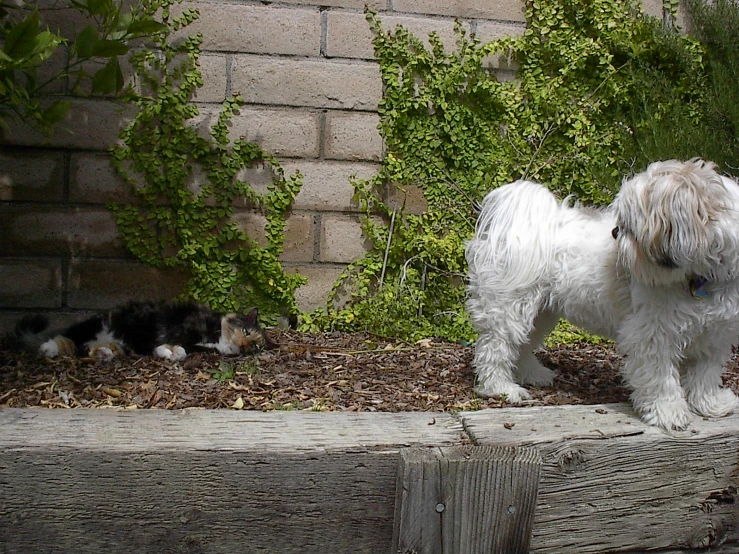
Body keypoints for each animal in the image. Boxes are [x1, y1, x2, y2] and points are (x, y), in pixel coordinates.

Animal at [468, 157, 739, 430]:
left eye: (629, 223)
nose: (616, 232)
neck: (702, 278)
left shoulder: (714, 336)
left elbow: (705, 375)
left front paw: (709, 404)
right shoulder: (652, 336)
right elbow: (661, 378)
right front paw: (667, 412)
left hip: (541, 314)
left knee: (522, 345)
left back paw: (533, 374)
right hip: (509, 308)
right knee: (496, 347)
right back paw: (501, 387)